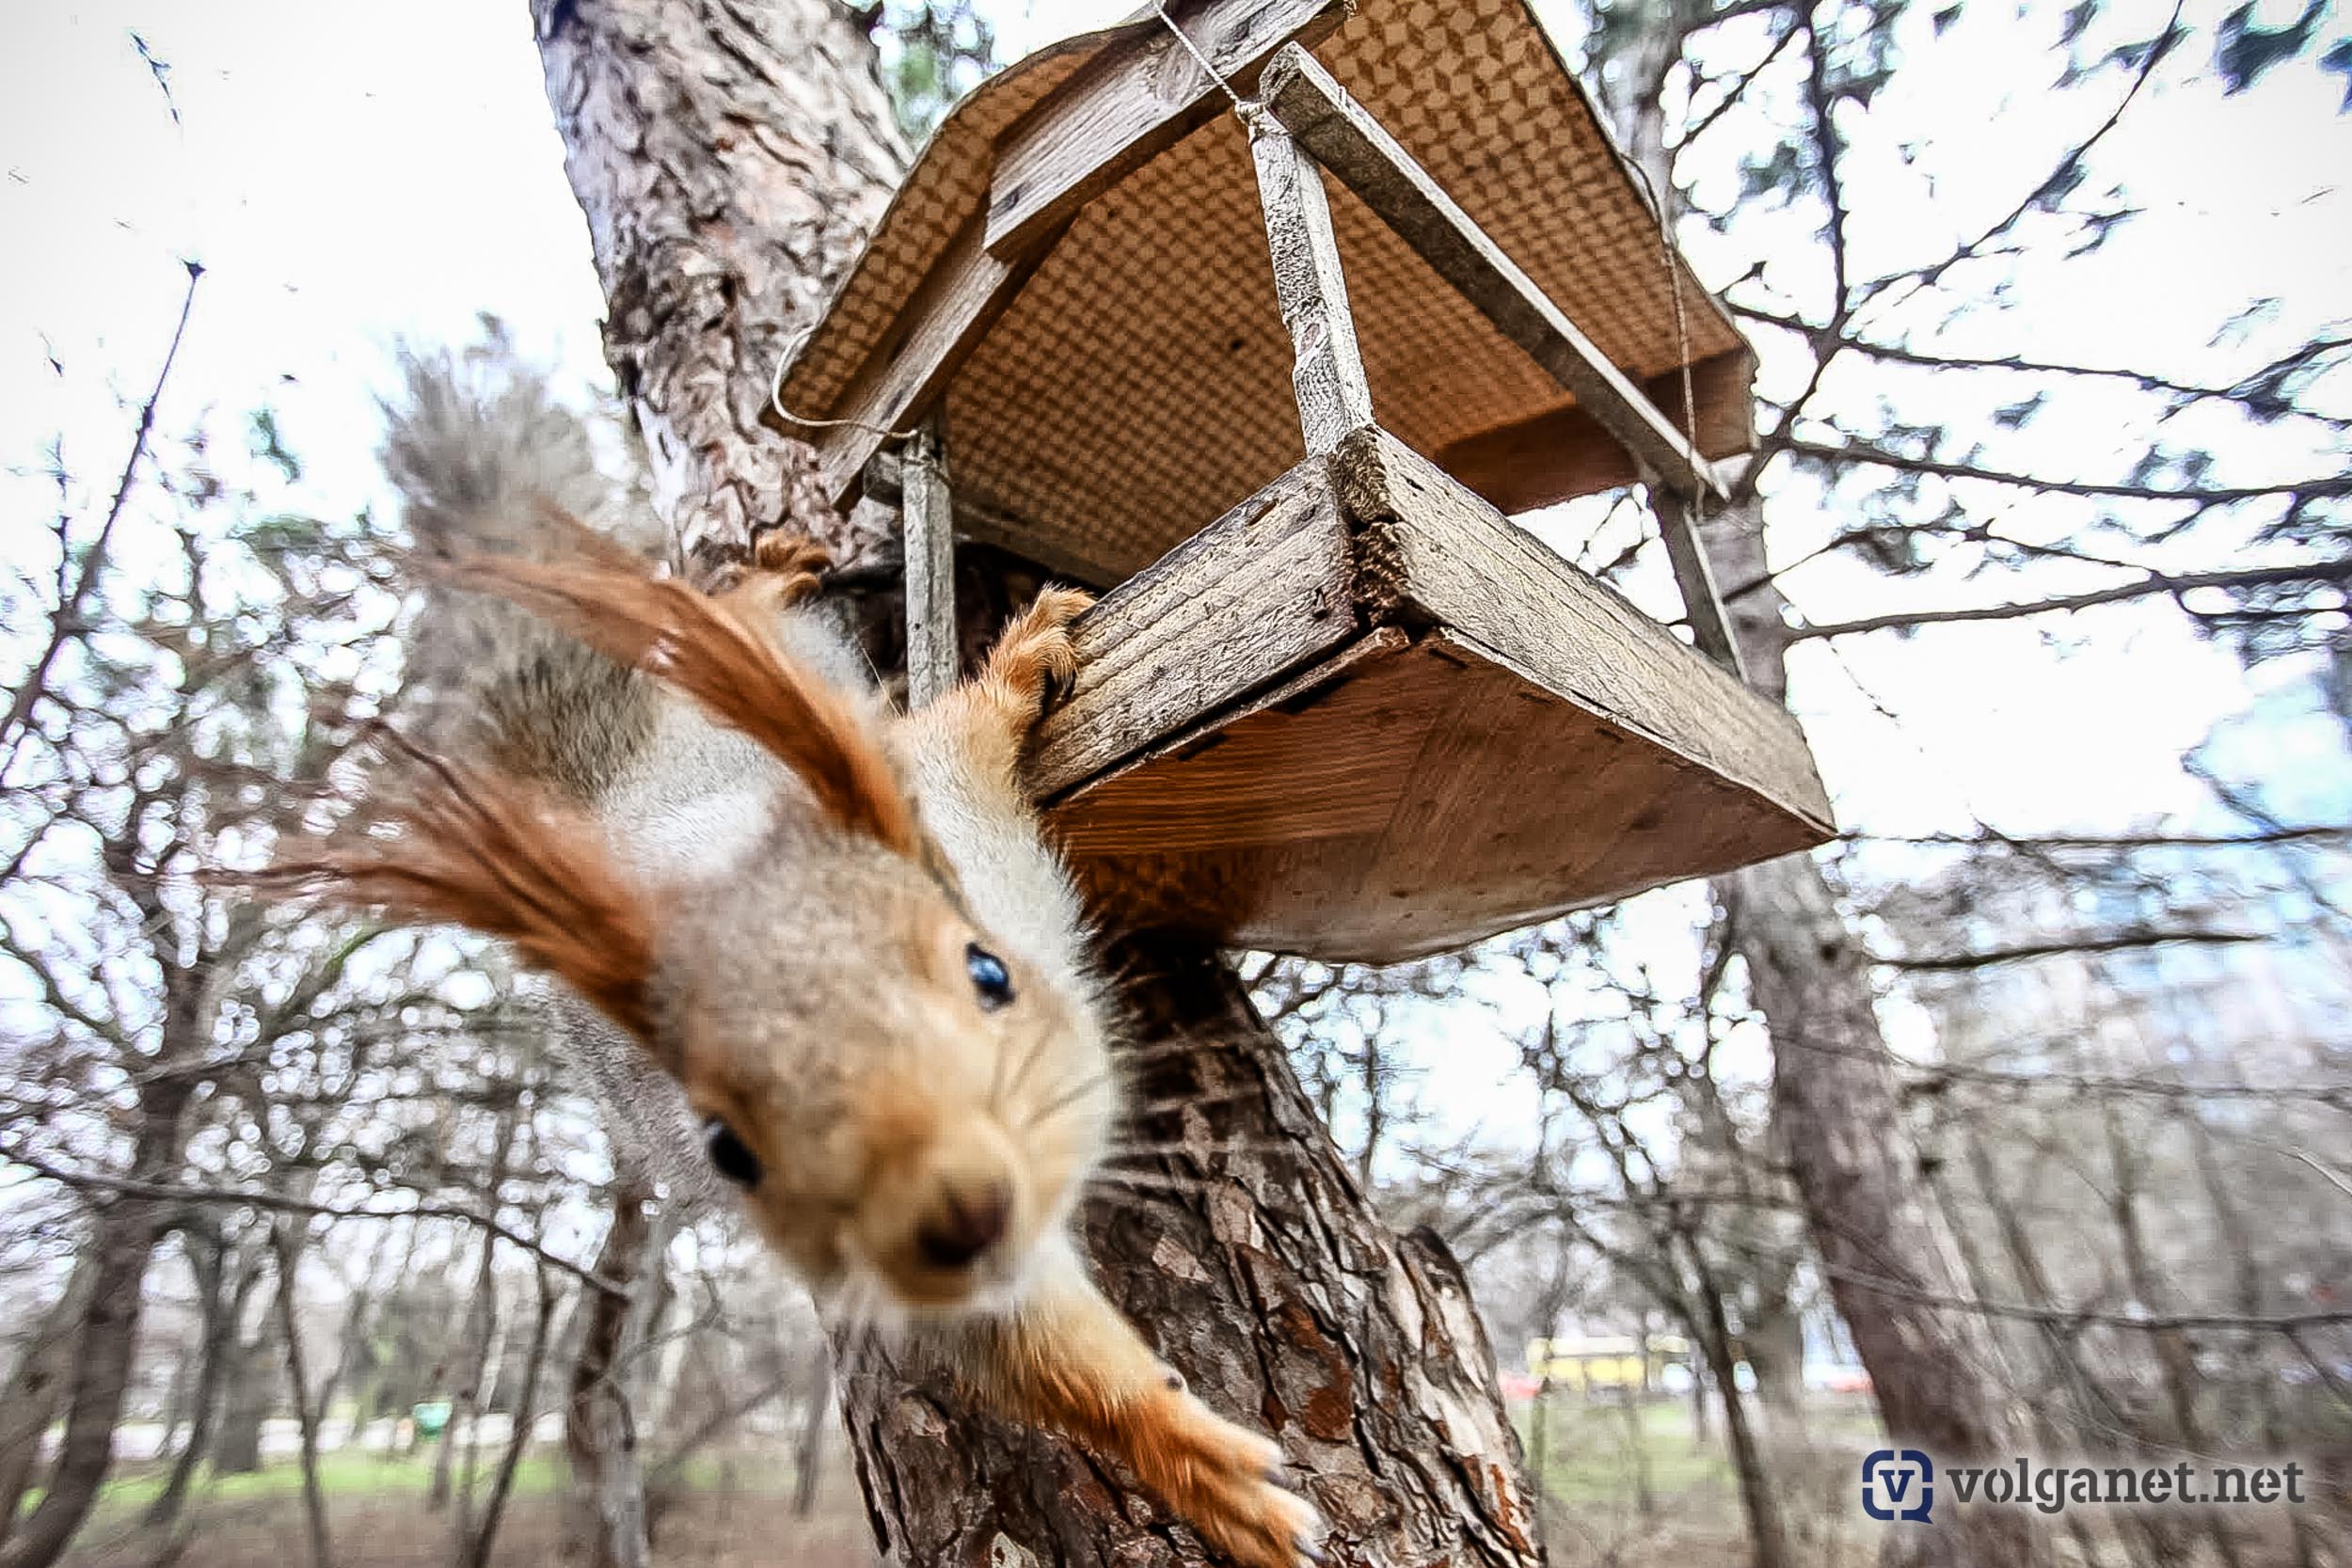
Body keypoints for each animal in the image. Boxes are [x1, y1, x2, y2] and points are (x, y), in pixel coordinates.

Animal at [270, 355, 1327, 1568]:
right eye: (728, 1146)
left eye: (989, 974)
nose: (954, 1213)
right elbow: (1036, 1345)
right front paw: (1193, 1463)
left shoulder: (943, 790)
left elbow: (970, 726)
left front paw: (1019, 662)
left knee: (735, 622)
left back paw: (772, 574)